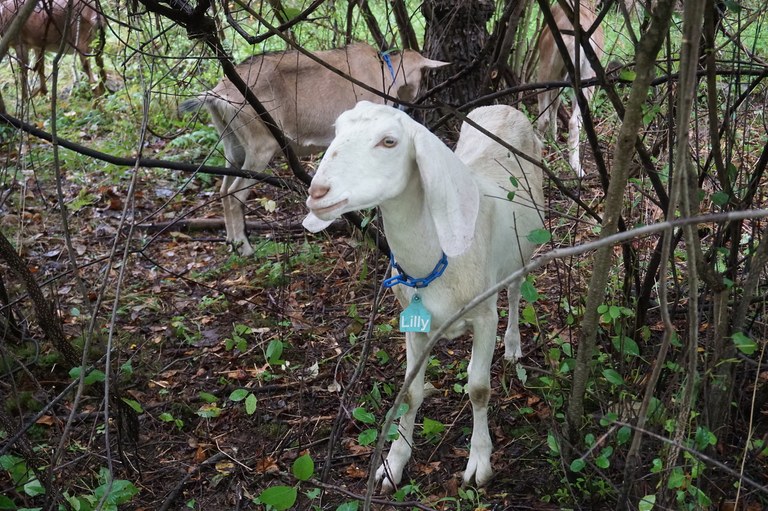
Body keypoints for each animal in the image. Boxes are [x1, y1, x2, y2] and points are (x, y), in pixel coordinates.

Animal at [180, 43, 448, 257]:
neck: (380, 70)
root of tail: (217, 94)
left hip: (232, 145)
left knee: (224, 190)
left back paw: (231, 242)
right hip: (259, 146)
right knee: (235, 193)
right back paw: (244, 248)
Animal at [303, 101, 544, 490]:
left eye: (389, 141)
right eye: (336, 130)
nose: (318, 191)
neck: (435, 260)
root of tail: (503, 106)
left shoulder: (483, 316)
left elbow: (479, 388)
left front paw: (479, 463)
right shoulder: (412, 324)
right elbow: (411, 392)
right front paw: (393, 464)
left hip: (522, 252)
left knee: (513, 291)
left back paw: (512, 346)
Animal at [537, 0, 604, 176]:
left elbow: (554, 104)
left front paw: (553, 137)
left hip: (546, 68)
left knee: (544, 117)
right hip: (587, 78)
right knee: (574, 122)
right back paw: (577, 167)